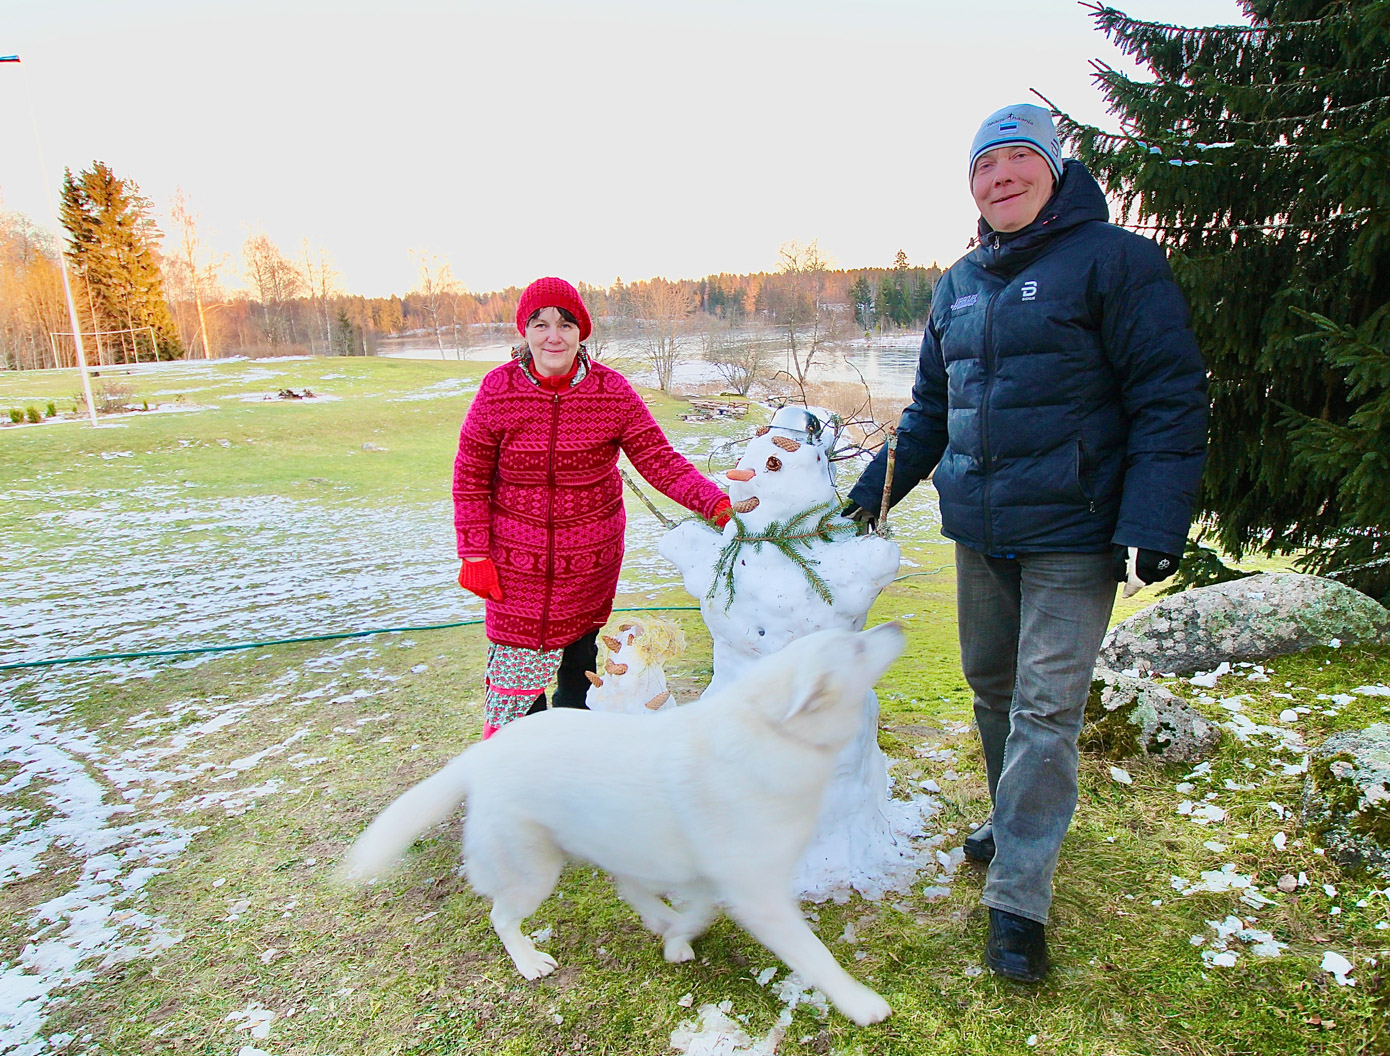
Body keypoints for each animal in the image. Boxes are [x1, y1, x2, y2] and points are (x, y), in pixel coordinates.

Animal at [336, 622, 900, 1028]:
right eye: (855, 648)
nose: (894, 627)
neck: (774, 731)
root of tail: (482, 754)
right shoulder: (760, 896)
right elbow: (817, 958)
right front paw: (861, 1003)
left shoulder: (715, 876)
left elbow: (698, 912)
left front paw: (676, 939)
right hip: (535, 871)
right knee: (503, 916)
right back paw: (529, 961)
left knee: (627, 884)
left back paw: (659, 920)